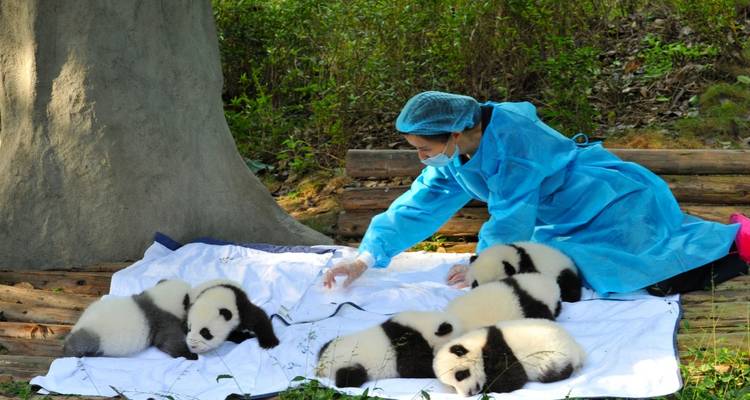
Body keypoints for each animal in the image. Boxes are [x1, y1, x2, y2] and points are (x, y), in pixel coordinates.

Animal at [63, 279, 196, 359]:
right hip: (92, 338)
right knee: (80, 344)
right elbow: (170, 342)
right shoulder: (163, 320)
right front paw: (190, 355)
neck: (159, 299)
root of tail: (78, 326)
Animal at [316, 310, 463, 388]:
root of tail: (321, 366)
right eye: (457, 349)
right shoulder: (409, 344)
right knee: (349, 377)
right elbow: (413, 368)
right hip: (349, 362)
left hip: (330, 344)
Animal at [433, 318, 586, 397]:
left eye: (461, 375)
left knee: (551, 372)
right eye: (451, 386)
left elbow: (512, 376)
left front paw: (488, 386)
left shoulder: (499, 349)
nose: (469, 393)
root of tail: (576, 349)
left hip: (553, 355)